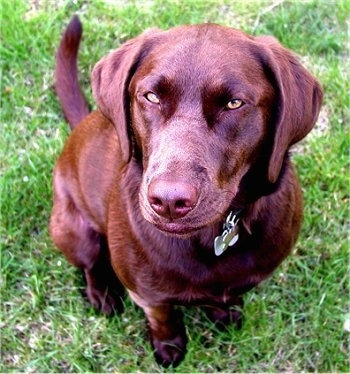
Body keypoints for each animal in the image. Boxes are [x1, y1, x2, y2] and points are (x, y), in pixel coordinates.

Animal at [50, 16, 322, 366]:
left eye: (234, 103)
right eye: (151, 97)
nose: (168, 201)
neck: (213, 234)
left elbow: (227, 296)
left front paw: (224, 313)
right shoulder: (147, 294)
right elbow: (162, 316)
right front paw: (169, 347)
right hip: (74, 230)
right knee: (90, 263)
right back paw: (103, 293)